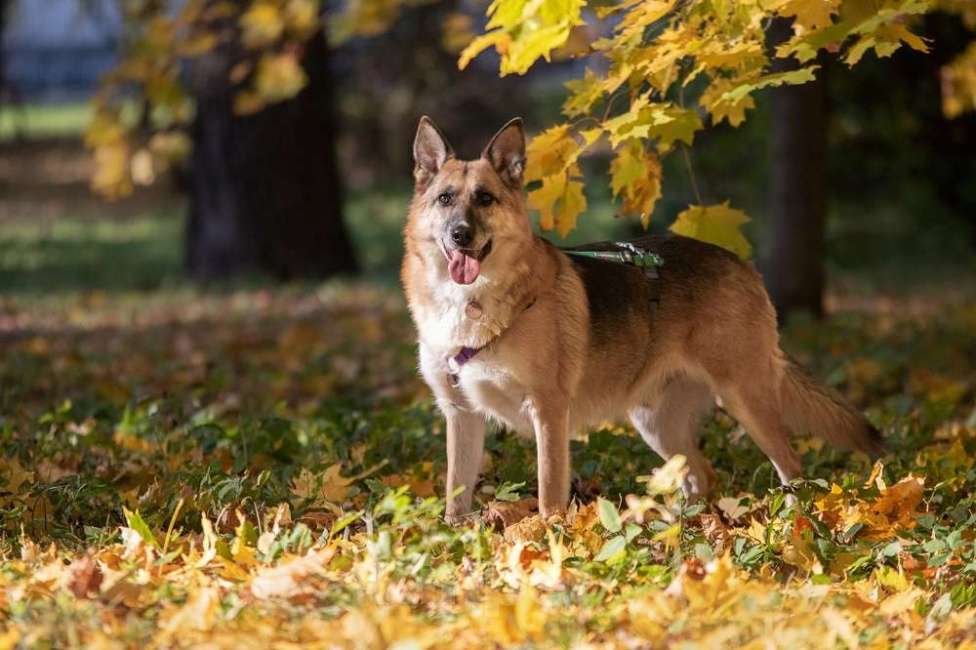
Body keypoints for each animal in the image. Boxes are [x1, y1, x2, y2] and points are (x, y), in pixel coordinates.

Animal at [400, 115, 880, 520]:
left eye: (485, 199)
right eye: (445, 199)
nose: (460, 235)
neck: (469, 302)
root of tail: (741, 263)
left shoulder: (548, 411)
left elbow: (549, 494)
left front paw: (548, 542)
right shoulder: (461, 415)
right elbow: (454, 496)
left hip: (745, 398)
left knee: (791, 464)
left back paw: (793, 522)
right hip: (655, 423)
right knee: (701, 475)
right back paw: (687, 527)